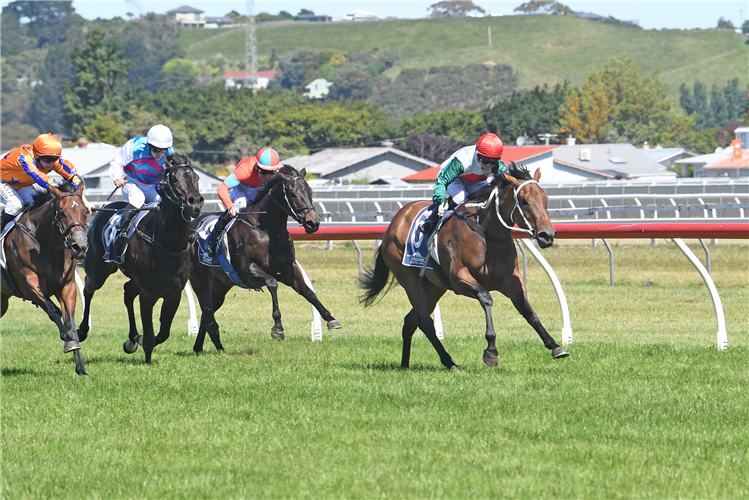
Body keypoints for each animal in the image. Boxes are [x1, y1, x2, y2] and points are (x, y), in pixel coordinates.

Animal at [0, 182, 89, 374]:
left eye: (86, 212)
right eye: (62, 212)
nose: (80, 247)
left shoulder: (67, 287)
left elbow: (70, 323)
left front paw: (80, 367)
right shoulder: (30, 283)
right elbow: (53, 310)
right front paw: (67, 340)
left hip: (2, 300)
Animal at [78, 154, 205, 362]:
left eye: (196, 178)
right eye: (175, 179)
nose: (195, 202)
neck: (167, 243)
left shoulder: (174, 291)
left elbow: (163, 332)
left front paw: (137, 339)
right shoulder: (147, 292)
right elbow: (151, 333)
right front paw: (146, 353)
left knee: (128, 291)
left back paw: (131, 339)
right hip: (98, 271)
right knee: (88, 289)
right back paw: (82, 330)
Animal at [188, 163, 340, 352]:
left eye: (310, 191)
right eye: (292, 193)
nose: (313, 223)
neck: (269, 230)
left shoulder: (288, 270)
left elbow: (308, 292)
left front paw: (330, 318)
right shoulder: (248, 271)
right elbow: (272, 284)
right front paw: (278, 328)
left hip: (220, 285)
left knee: (207, 312)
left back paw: (201, 347)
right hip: (199, 280)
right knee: (207, 310)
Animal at [360, 162, 568, 370]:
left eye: (545, 198)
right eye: (524, 201)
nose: (547, 235)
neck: (487, 235)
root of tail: (393, 223)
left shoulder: (511, 280)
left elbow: (528, 310)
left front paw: (555, 346)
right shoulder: (460, 279)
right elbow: (486, 298)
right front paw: (491, 351)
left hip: (434, 286)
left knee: (411, 321)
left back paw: (405, 364)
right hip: (409, 278)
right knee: (425, 321)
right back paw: (449, 361)